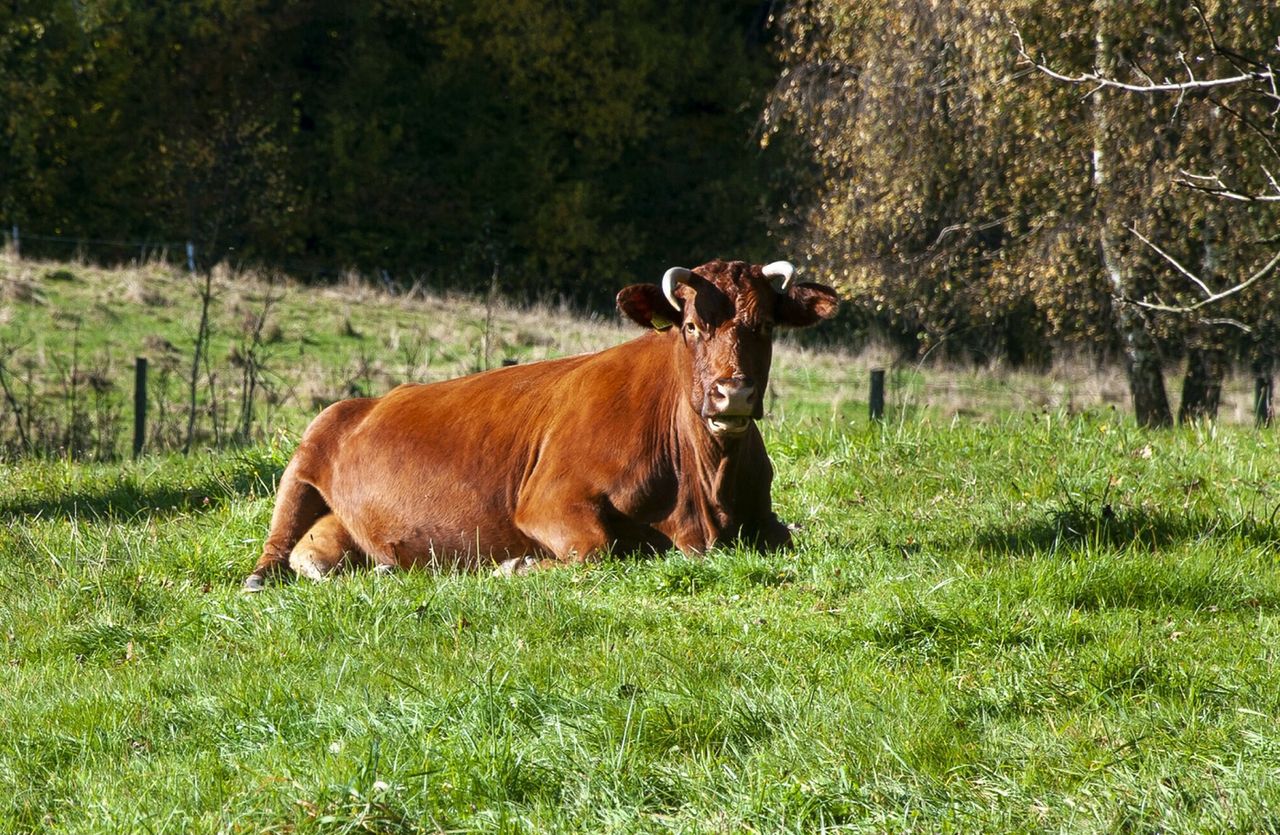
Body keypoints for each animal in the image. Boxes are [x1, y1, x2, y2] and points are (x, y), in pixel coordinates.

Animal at [241, 257, 839, 589]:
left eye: (766, 326)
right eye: (691, 325)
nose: (732, 392)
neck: (703, 496)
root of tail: (365, 402)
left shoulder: (764, 517)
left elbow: (790, 536)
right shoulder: (548, 500)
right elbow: (598, 548)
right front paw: (517, 567)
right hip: (306, 455)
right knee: (278, 542)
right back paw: (260, 578)